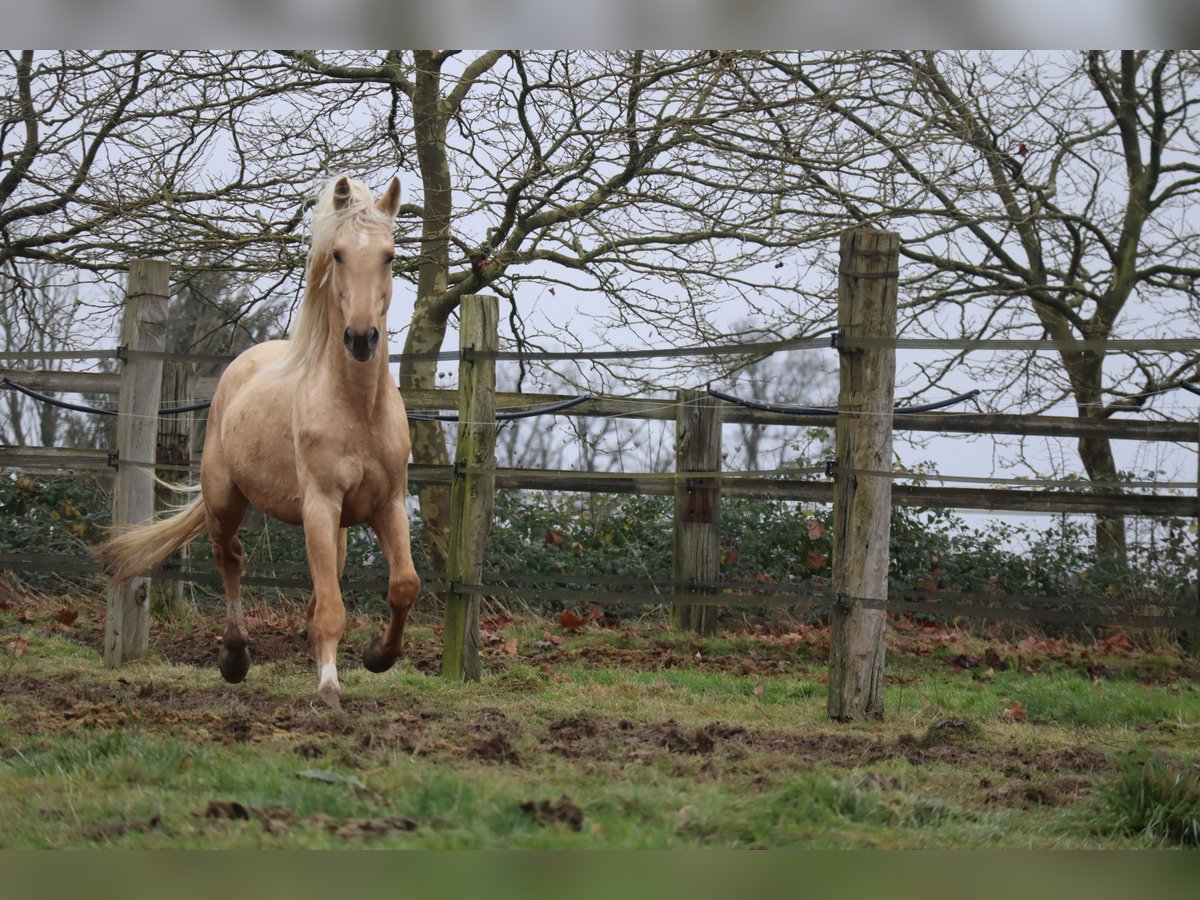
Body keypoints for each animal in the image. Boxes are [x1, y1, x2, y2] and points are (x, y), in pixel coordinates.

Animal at [98, 177, 420, 710]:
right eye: (337, 254)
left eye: (390, 255)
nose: (360, 338)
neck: (357, 410)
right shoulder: (319, 505)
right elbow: (332, 608)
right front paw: (329, 689)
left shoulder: (388, 504)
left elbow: (404, 586)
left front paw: (379, 656)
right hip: (225, 499)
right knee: (230, 558)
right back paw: (234, 658)